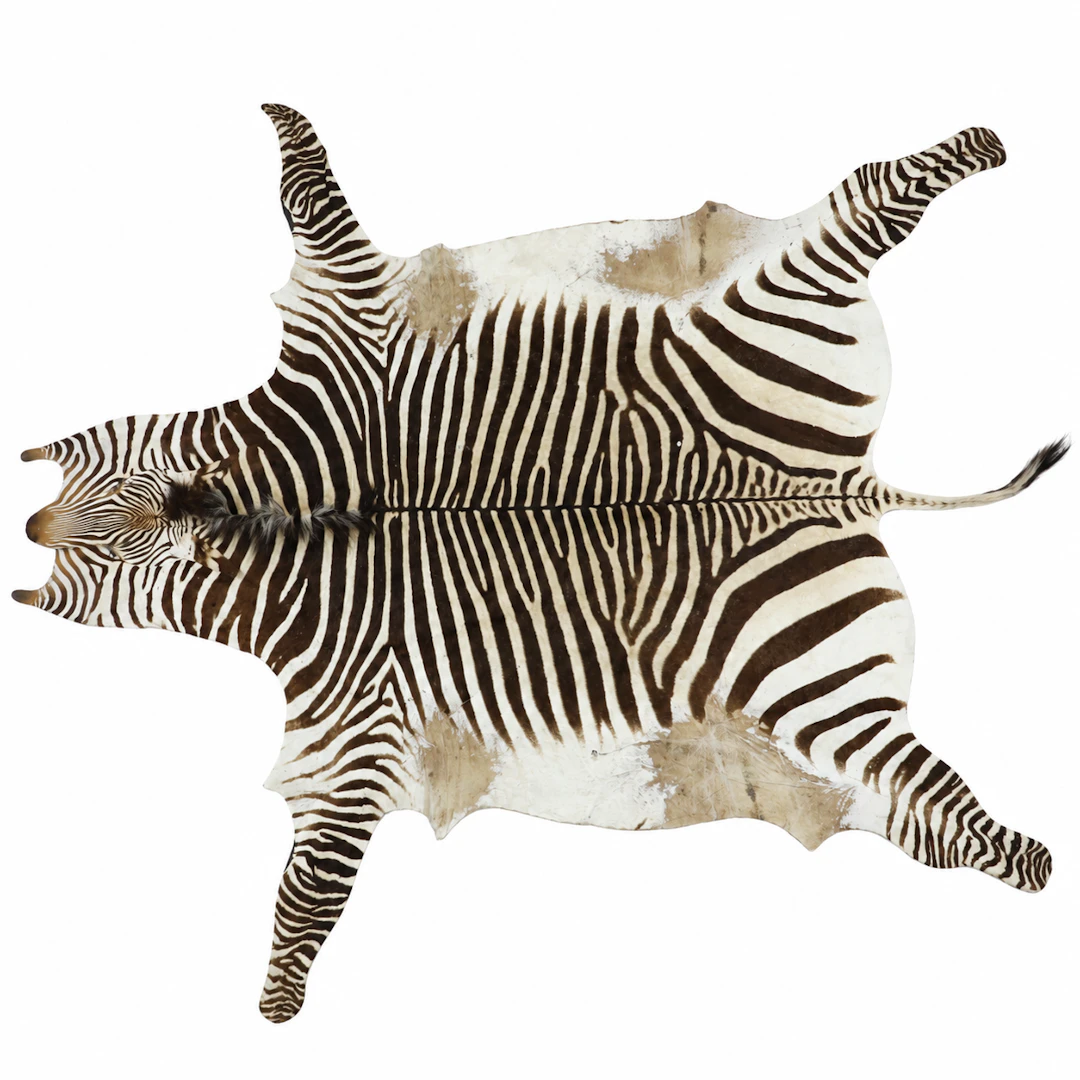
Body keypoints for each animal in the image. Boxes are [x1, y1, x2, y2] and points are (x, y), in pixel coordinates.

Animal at [16, 105, 1066, 1022]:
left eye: (104, 566)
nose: (29, 528)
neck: (281, 507)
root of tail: (844, 483)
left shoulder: (353, 737)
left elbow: (310, 890)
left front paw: (277, 1001)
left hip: (775, 348)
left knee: (872, 190)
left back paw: (979, 145)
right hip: (819, 707)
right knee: (924, 801)